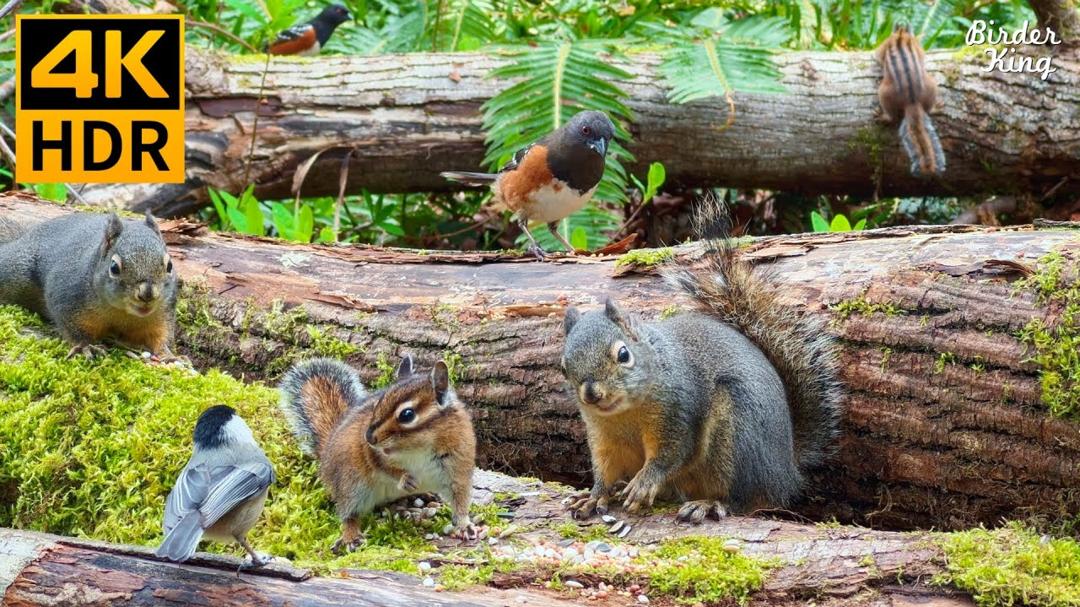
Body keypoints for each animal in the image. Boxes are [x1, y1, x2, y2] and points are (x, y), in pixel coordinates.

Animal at [0, 211, 178, 357]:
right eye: (114, 267)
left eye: (169, 266)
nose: (147, 294)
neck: (122, 312)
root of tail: (25, 235)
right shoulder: (67, 300)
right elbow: (74, 330)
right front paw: (86, 346)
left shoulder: (162, 315)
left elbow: (160, 335)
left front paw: (167, 354)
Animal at [279, 355, 478, 552]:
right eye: (378, 403)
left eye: (407, 414)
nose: (368, 436)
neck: (420, 446)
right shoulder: (372, 453)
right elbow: (381, 466)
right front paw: (405, 478)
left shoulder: (458, 467)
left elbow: (460, 500)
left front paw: (464, 525)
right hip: (351, 484)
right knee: (348, 514)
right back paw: (351, 536)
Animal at [561, 200, 841, 523]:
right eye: (563, 367)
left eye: (623, 354)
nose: (592, 394)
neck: (625, 414)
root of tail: (787, 472)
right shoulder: (603, 437)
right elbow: (605, 470)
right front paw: (594, 496)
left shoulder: (678, 410)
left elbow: (673, 453)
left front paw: (644, 482)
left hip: (735, 432)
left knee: (742, 499)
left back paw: (708, 504)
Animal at [875, 24, 946, 177]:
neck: (902, 34)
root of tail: (912, 102)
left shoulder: (883, 46)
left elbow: (876, 54)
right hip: (932, 85)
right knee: (929, 109)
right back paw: (936, 108)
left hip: (883, 93)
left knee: (892, 117)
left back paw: (882, 116)